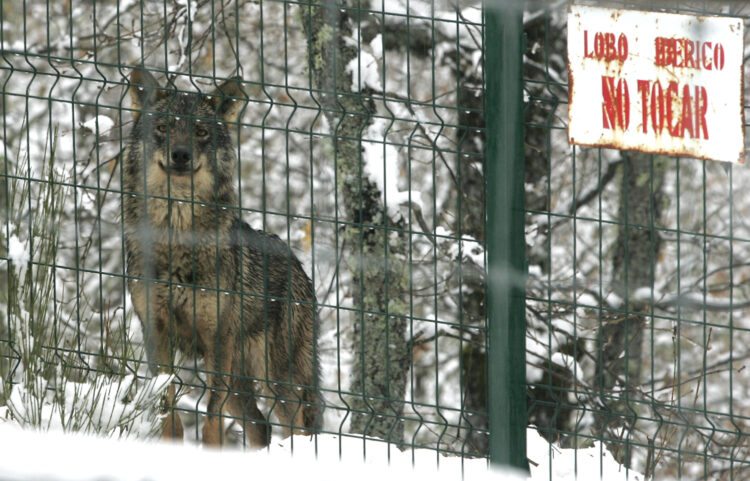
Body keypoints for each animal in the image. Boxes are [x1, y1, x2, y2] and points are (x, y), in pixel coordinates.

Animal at [121, 68, 319, 447]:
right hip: (244, 382)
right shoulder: (157, 331)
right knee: (262, 427)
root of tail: (299, 266)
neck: (177, 237)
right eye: (164, 127)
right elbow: (167, 405)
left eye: (200, 131)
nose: (180, 154)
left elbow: (212, 413)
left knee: (298, 426)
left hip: (276, 377)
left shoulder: (218, 340)